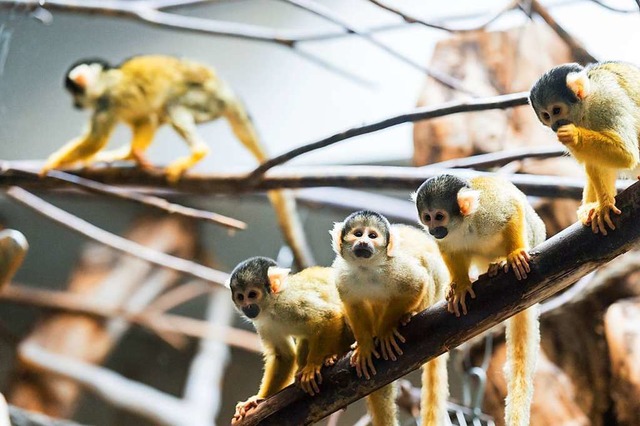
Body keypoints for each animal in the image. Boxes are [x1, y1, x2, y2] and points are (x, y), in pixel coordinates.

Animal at [40, 55, 316, 270]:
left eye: (75, 94)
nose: (75, 105)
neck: (106, 80)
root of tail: (224, 88)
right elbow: (145, 119)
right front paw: (129, 155)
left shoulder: (107, 100)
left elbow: (96, 139)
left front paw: (53, 163)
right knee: (158, 111)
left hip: (204, 99)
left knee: (172, 104)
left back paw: (197, 152)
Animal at [229, 256, 352, 422]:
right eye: (241, 297)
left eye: (252, 294)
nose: (247, 307)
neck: (272, 305)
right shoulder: (263, 322)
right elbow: (283, 355)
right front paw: (257, 398)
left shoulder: (292, 301)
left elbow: (329, 315)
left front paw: (312, 366)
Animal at [412, 175, 544, 426]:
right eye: (427, 217)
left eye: (439, 216)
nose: (433, 230)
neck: (462, 225)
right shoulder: (447, 239)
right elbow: (450, 251)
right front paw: (462, 286)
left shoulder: (488, 211)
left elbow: (512, 210)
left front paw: (514, 254)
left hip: (534, 235)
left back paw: (502, 262)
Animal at [528, 62, 640, 236]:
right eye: (546, 116)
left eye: (556, 110)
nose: (554, 126)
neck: (587, 104)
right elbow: (596, 161)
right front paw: (603, 205)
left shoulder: (607, 100)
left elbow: (626, 154)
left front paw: (574, 135)